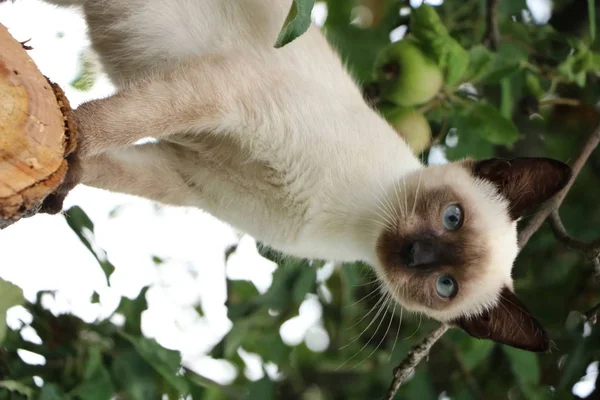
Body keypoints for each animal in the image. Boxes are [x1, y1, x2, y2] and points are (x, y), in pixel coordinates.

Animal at [28, 0, 572, 350]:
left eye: (444, 287)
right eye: (453, 216)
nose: (415, 253)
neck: (348, 221)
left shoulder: (187, 177)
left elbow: (103, 166)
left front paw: (51, 184)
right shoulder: (228, 93)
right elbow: (109, 124)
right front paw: (69, 132)